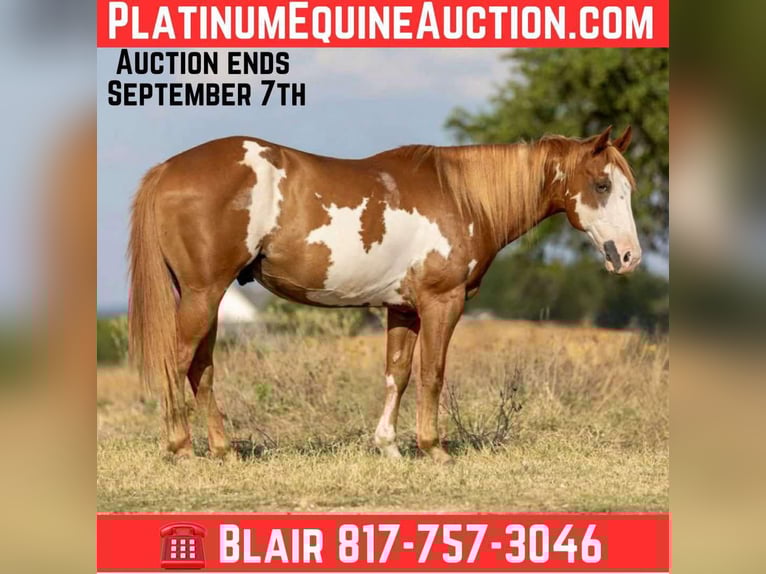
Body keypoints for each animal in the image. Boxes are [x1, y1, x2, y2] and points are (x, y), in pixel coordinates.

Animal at [128, 125, 640, 463]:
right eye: (601, 185)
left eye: (627, 188)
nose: (628, 257)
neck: (462, 196)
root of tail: (168, 170)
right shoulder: (441, 303)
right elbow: (432, 374)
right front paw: (434, 449)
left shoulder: (403, 309)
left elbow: (398, 374)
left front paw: (389, 446)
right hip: (202, 293)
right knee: (177, 361)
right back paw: (181, 448)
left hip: (204, 297)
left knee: (202, 368)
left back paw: (223, 450)